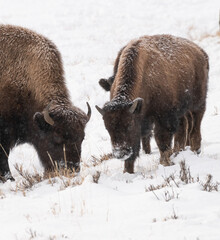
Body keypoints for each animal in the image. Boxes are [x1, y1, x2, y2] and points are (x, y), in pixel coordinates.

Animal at [96, 34, 208, 173]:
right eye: (107, 128)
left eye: (129, 125)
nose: (120, 154)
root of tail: (201, 53)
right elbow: (135, 147)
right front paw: (127, 171)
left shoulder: (164, 118)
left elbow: (162, 140)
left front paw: (165, 163)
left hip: (198, 104)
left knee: (195, 127)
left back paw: (195, 150)